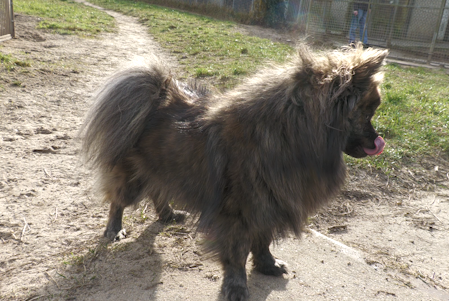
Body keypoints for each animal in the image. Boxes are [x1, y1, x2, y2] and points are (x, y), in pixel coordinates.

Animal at [82, 44, 386, 300]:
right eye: (365, 113)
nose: (378, 141)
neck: (288, 133)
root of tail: (156, 96)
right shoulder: (238, 212)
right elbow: (237, 253)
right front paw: (237, 287)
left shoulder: (268, 203)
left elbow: (263, 241)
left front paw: (268, 264)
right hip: (133, 179)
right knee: (118, 201)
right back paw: (115, 230)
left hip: (166, 168)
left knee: (159, 192)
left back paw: (168, 215)